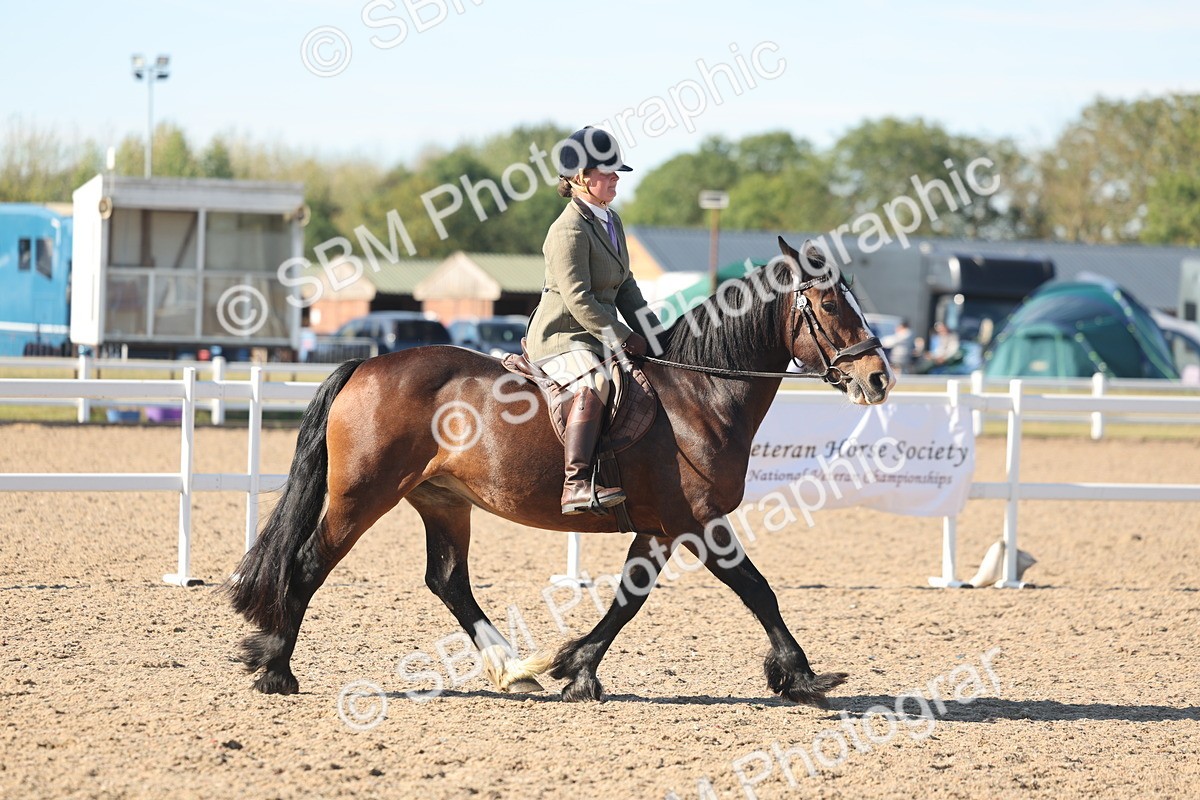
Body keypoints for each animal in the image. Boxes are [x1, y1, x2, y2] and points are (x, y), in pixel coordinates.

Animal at [227, 237, 893, 707]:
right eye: (829, 303)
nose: (879, 377)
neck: (700, 394)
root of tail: (365, 366)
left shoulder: (660, 528)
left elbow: (629, 597)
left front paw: (577, 669)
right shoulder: (698, 520)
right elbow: (758, 590)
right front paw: (803, 677)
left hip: (443, 501)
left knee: (448, 581)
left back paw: (514, 670)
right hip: (362, 496)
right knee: (309, 564)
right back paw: (277, 670)